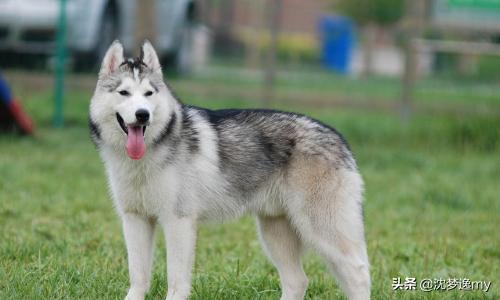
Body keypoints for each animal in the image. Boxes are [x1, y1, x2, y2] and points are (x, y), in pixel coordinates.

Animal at [90, 41, 372, 300]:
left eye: (149, 93)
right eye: (124, 92)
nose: (142, 115)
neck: (144, 158)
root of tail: (339, 138)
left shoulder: (178, 222)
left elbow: (176, 281)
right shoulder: (135, 219)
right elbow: (138, 277)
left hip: (321, 230)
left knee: (358, 273)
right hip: (275, 233)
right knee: (298, 281)